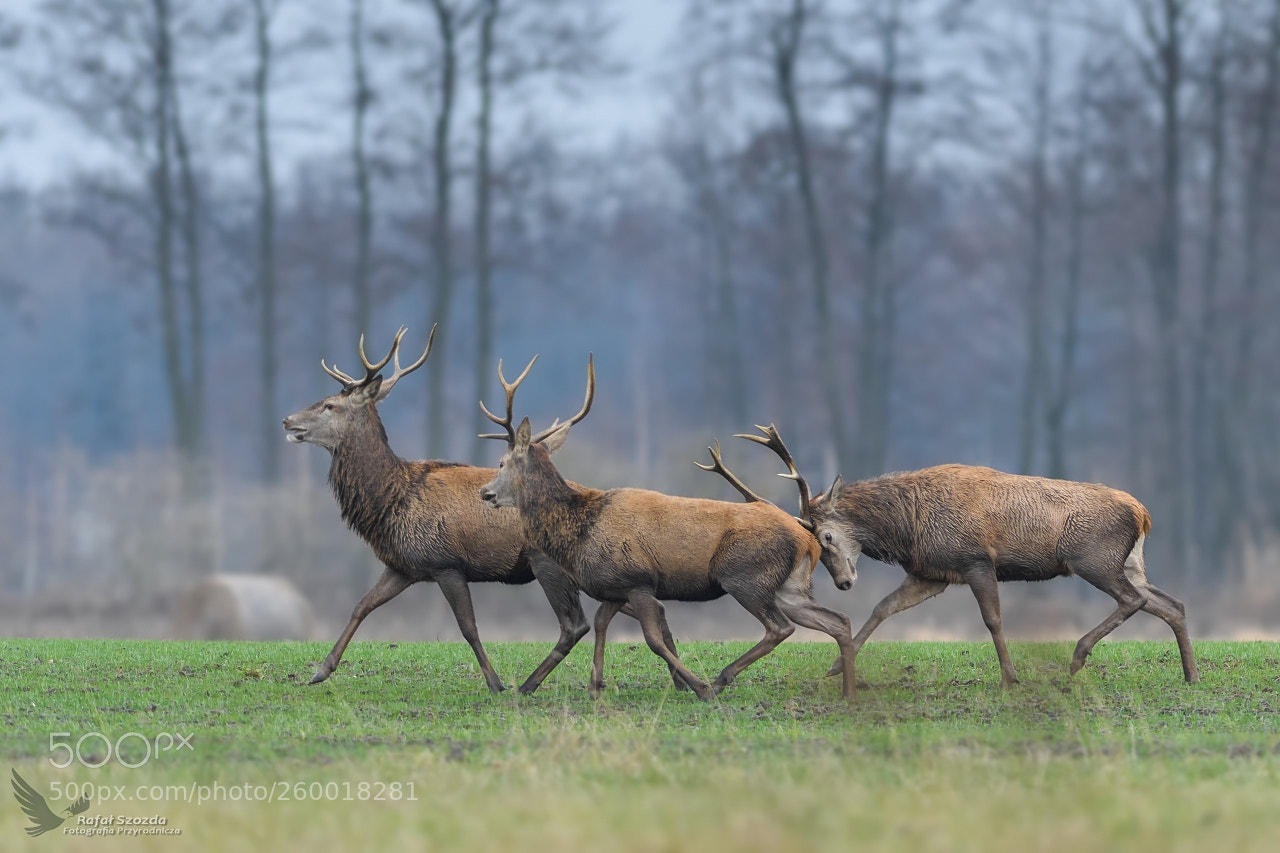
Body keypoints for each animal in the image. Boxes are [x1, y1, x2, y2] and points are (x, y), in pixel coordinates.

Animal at [281, 326, 682, 695]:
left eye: (330, 405)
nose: (287, 420)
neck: (391, 500)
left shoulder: (445, 562)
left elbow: (468, 627)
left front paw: (495, 682)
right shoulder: (402, 565)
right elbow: (361, 606)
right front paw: (320, 671)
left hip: (548, 563)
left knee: (575, 624)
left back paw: (528, 685)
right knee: (652, 608)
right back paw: (680, 680)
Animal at [477, 356, 859, 701]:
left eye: (502, 462)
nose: (485, 492)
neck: (581, 531)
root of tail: (807, 538)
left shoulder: (638, 580)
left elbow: (652, 639)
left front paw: (697, 686)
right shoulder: (613, 587)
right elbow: (600, 625)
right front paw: (595, 687)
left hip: (744, 575)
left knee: (780, 627)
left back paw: (720, 680)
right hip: (789, 586)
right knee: (837, 620)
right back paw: (848, 693)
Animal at [717, 424, 1200, 690]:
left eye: (827, 536)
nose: (843, 583)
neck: (909, 526)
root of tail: (1143, 513)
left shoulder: (975, 561)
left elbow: (993, 620)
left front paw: (1010, 678)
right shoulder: (933, 572)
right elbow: (883, 608)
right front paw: (837, 665)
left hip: (1093, 558)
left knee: (1134, 600)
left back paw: (1079, 656)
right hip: (1130, 562)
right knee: (1170, 603)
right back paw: (1191, 674)